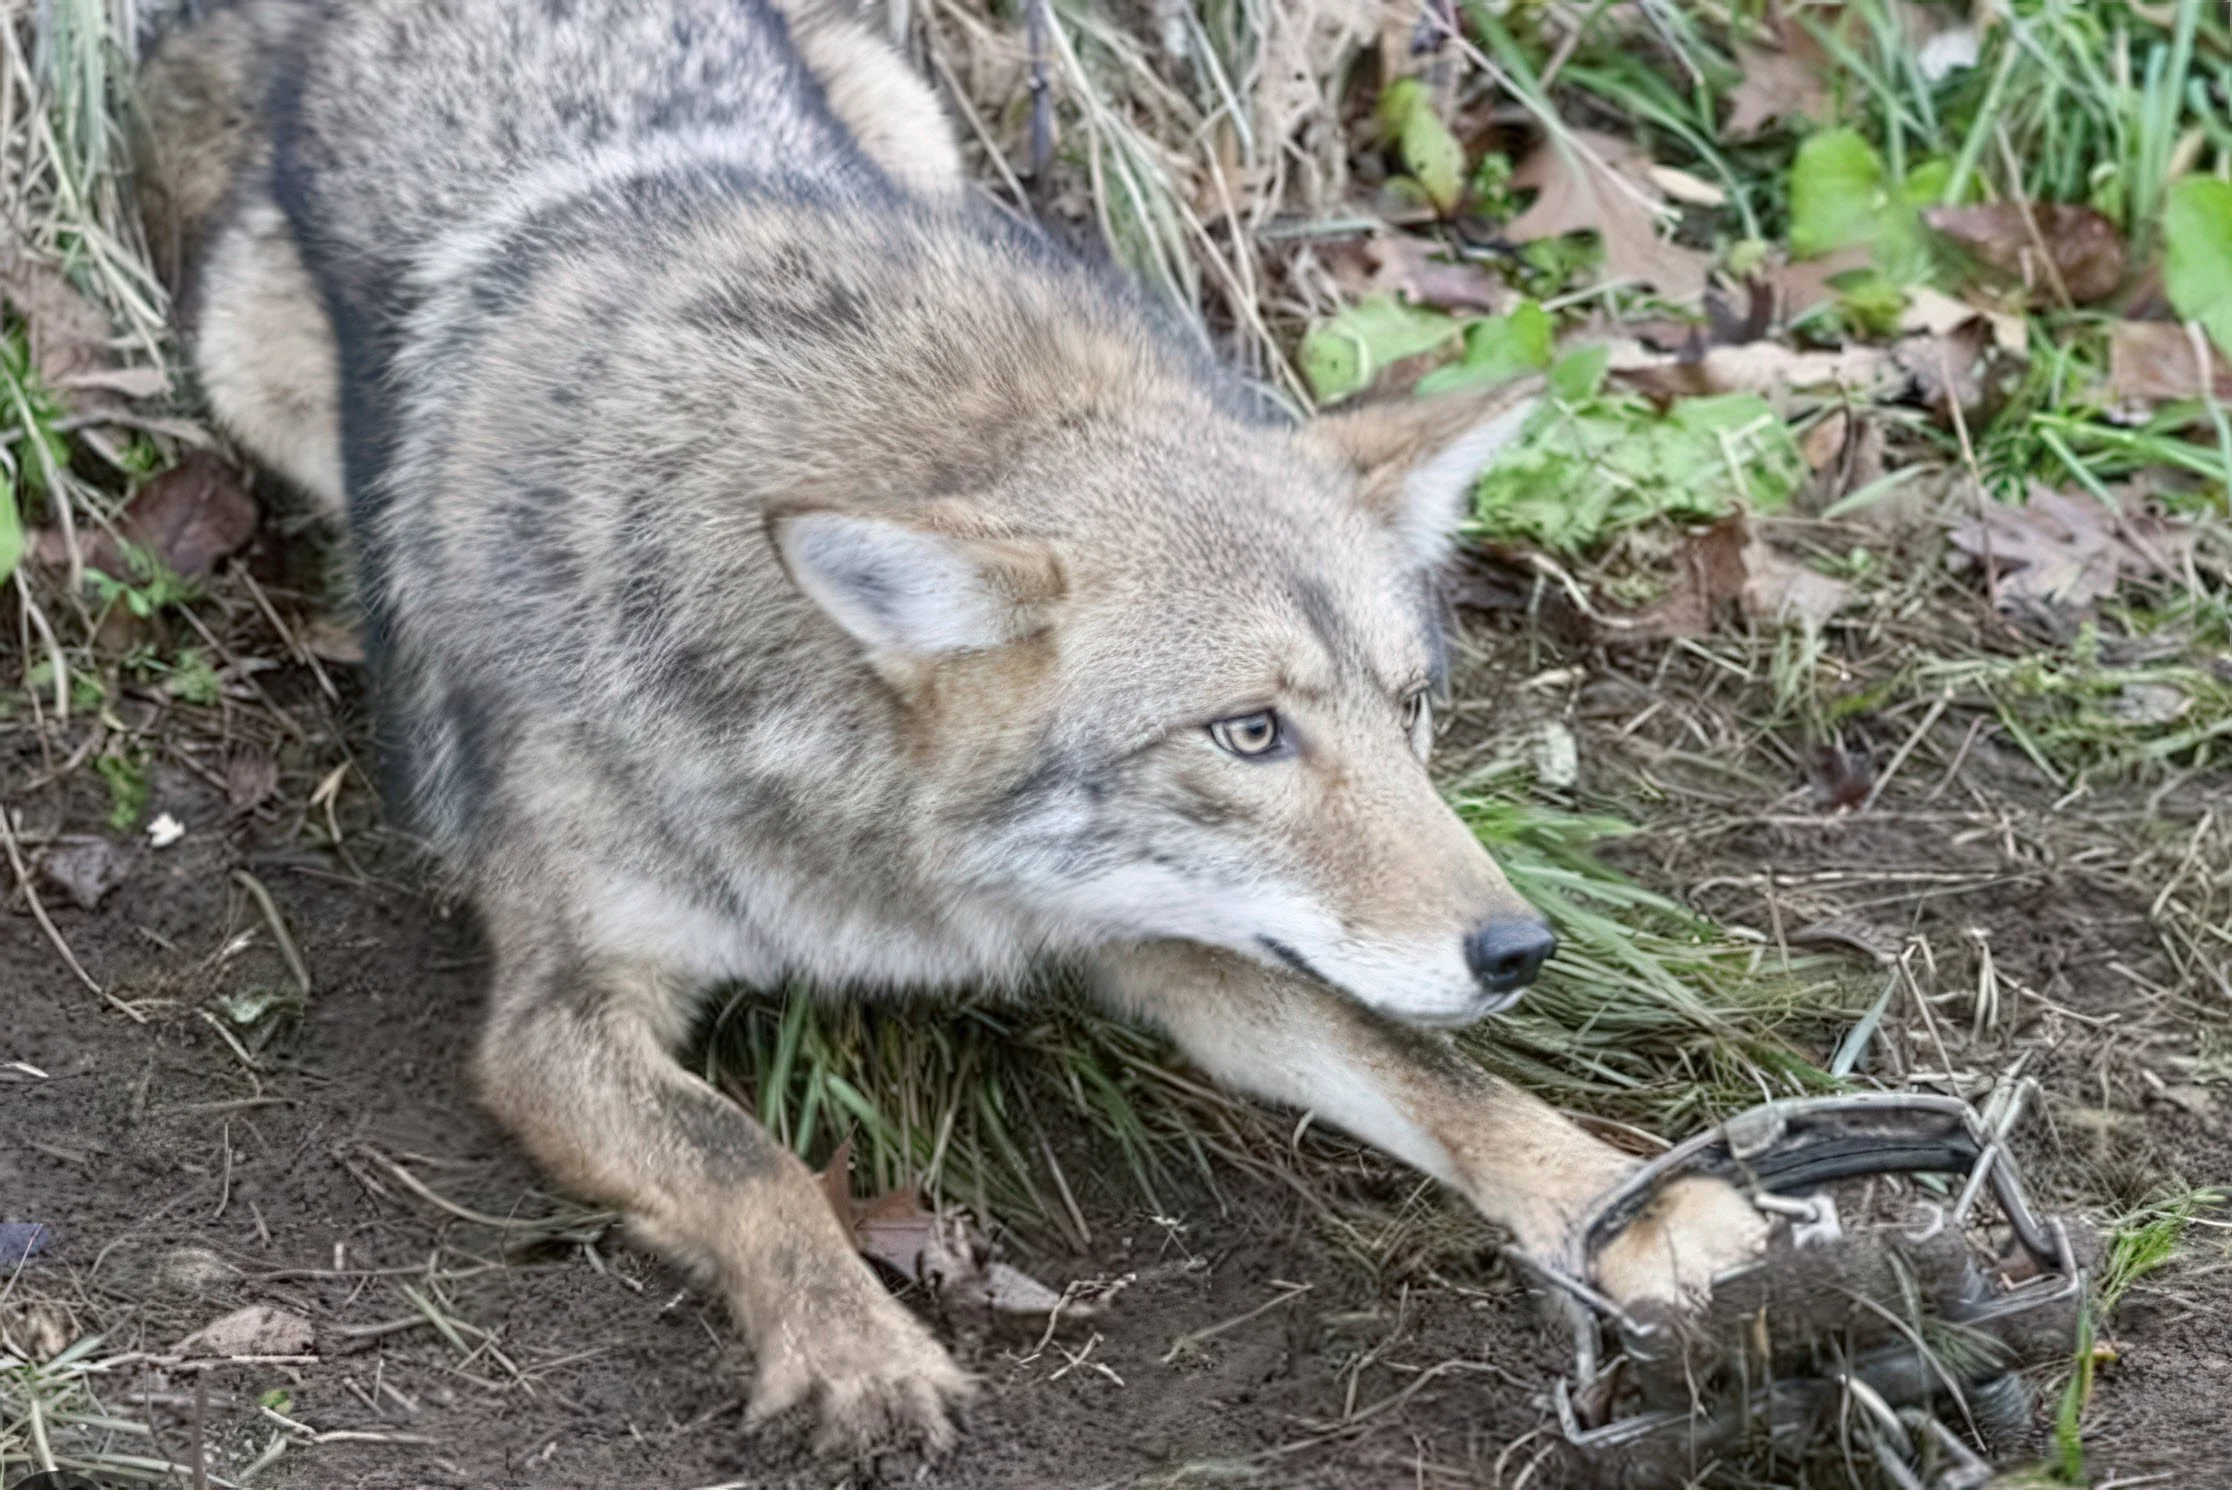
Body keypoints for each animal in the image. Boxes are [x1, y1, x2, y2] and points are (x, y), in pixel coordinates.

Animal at [139, 0, 1767, 1453]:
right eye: (1249, 733)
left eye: (1411, 702)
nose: (1520, 950)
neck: (882, 851)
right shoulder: (551, 1017)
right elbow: (753, 1160)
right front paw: (855, 1350)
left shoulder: (1156, 930)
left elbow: (1427, 1070)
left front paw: (1637, 1206)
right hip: (246, 366)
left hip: (907, 116)